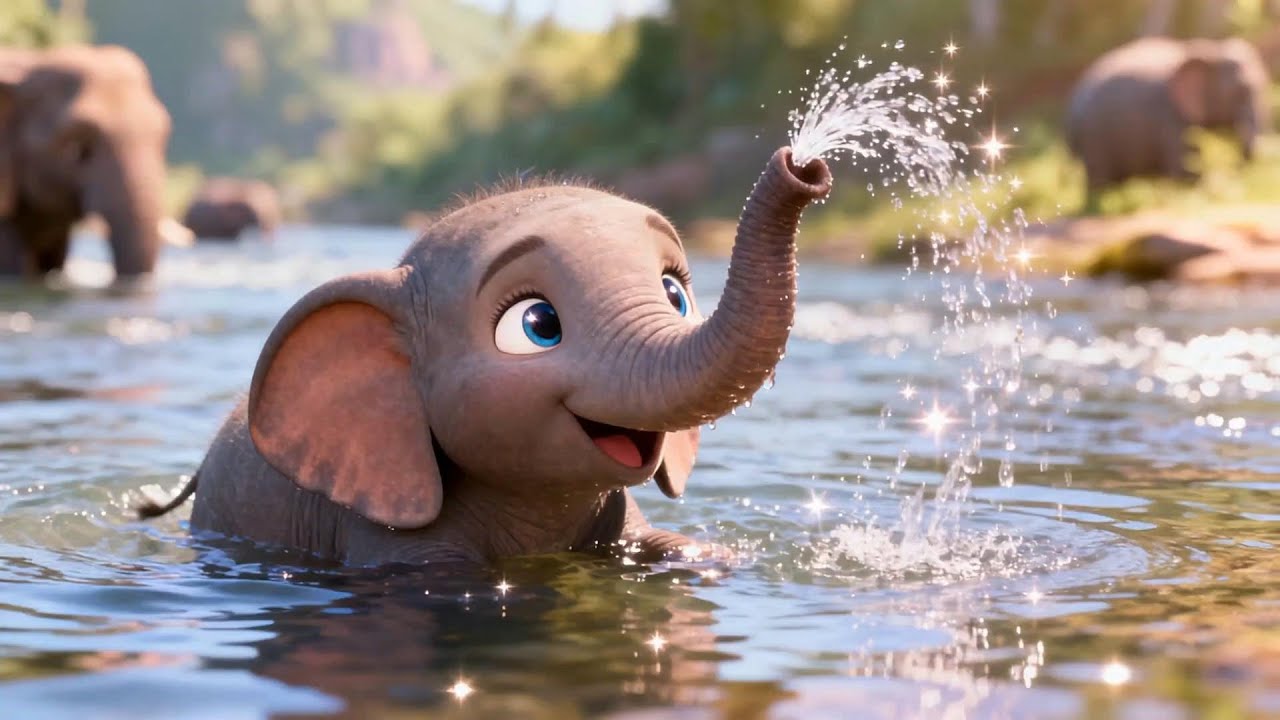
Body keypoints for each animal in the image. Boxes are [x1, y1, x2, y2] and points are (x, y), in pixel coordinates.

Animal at [1066, 37, 1270, 195]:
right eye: (1241, 91)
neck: (1211, 49)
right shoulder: (1172, 115)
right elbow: (1185, 171)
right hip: (1092, 137)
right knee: (1100, 181)